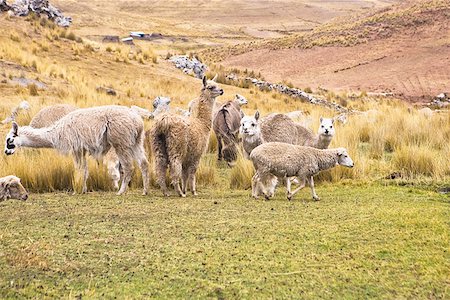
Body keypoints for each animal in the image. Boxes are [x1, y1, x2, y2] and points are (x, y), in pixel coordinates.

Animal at [4, 106, 149, 196]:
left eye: (10, 140)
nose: (6, 152)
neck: (56, 134)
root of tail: (137, 121)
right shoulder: (82, 149)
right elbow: (85, 170)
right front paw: (83, 190)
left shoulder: (76, 147)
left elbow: (80, 169)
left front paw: (77, 191)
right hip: (137, 140)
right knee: (144, 163)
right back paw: (145, 191)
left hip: (121, 141)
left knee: (129, 166)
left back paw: (120, 192)